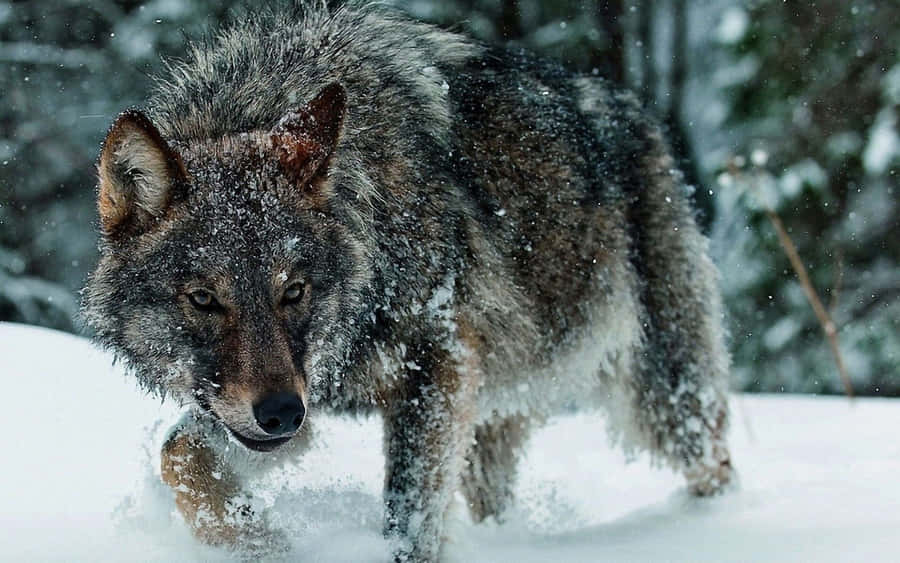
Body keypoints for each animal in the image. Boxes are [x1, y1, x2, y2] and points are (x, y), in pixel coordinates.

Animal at [83, 3, 734, 561]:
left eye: (293, 291)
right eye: (203, 299)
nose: (281, 416)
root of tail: (638, 111)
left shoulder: (433, 363)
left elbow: (409, 519)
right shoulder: (296, 396)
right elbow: (179, 454)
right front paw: (255, 542)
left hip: (663, 397)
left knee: (716, 463)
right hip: (489, 426)